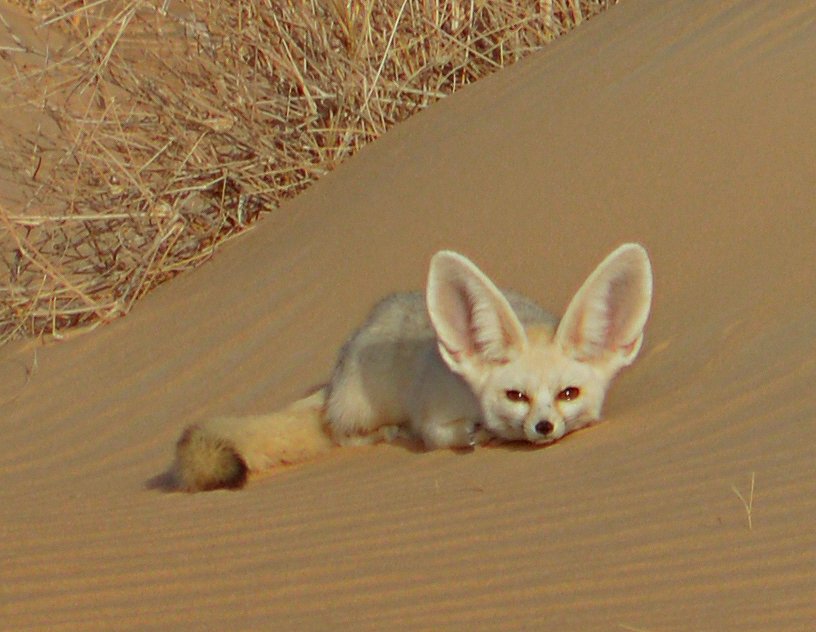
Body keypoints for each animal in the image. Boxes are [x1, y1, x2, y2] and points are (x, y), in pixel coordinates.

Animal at [172, 243, 653, 492]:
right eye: (516, 396)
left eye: (568, 393)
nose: (544, 427)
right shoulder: (431, 414)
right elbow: (441, 435)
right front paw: (475, 435)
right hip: (362, 406)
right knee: (342, 433)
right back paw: (385, 432)